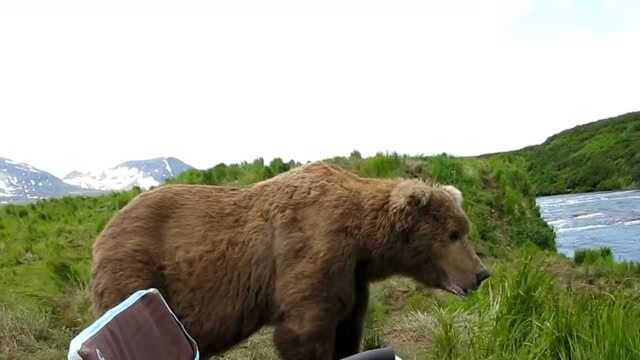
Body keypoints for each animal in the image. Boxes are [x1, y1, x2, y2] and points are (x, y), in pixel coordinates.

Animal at [91, 162, 490, 358]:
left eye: (464, 229)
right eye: (454, 233)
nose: (481, 273)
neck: (363, 240)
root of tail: (103, 233)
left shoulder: (351, 277)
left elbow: (347, 327)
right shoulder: (310, 249)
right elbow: (302, 332)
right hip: (136, 271)